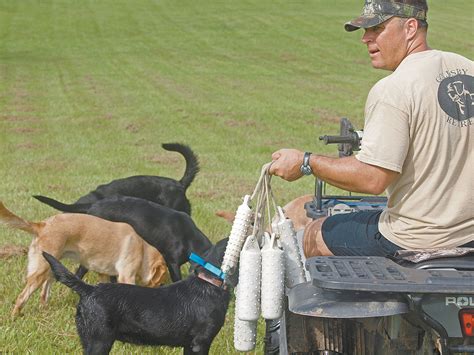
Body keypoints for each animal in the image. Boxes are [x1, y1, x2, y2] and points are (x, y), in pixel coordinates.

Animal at [0, 202, 168, 316]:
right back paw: (14, 316)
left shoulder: (103, 275)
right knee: (21, 297)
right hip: (39, 272)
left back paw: (44, 310)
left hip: (51, 268)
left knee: (44, 293)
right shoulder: (127, 277)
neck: (142, 248)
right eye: (160, 281)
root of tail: (42, 225)